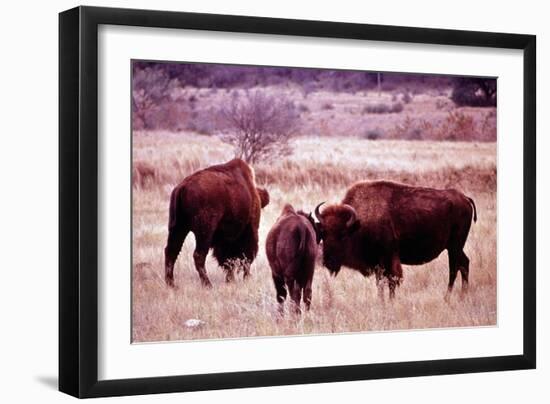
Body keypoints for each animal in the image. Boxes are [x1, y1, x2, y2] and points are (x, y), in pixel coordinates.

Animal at [165, 158, 270, 288]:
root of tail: (182, 187)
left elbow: (227, 260)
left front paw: (230, 279)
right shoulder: (250, 230)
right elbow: (246, 256)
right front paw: (245, 278)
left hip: (178, 227)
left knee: (171, 251)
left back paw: (171, 284)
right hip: (204, 232)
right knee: (198, 255)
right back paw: (208, 284)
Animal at [314, 181, 478, 298]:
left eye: (342, 235)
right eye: (323, 233)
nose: (327, 261)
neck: (359, 224)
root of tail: (464, 198)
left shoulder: (389, 259)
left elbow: (392, 281)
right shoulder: (378, 264)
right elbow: (380, 284)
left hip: (454, 246)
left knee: (455, 268)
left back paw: (448, 297)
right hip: (454, 247)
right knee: (464, 264)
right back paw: (462, 296)